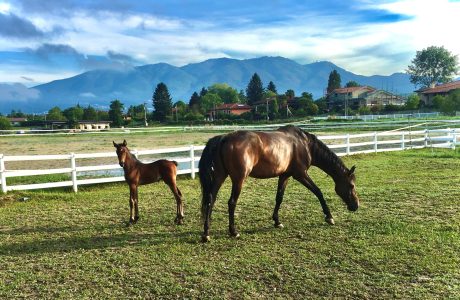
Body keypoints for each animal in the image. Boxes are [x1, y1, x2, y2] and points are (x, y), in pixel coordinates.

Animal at [199, 125, 362, 243]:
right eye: (351, 186)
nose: (355, 206)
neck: (304, 144)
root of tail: (224, 137)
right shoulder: (300, 174)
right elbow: (318, 192)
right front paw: (329, 217)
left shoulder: (285, 176)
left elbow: (279, 198)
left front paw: (277, 221)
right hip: (238, 179)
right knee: (231, 202)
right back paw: (233, 232)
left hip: (220, 176)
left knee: (211, 200)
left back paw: (206, 233)